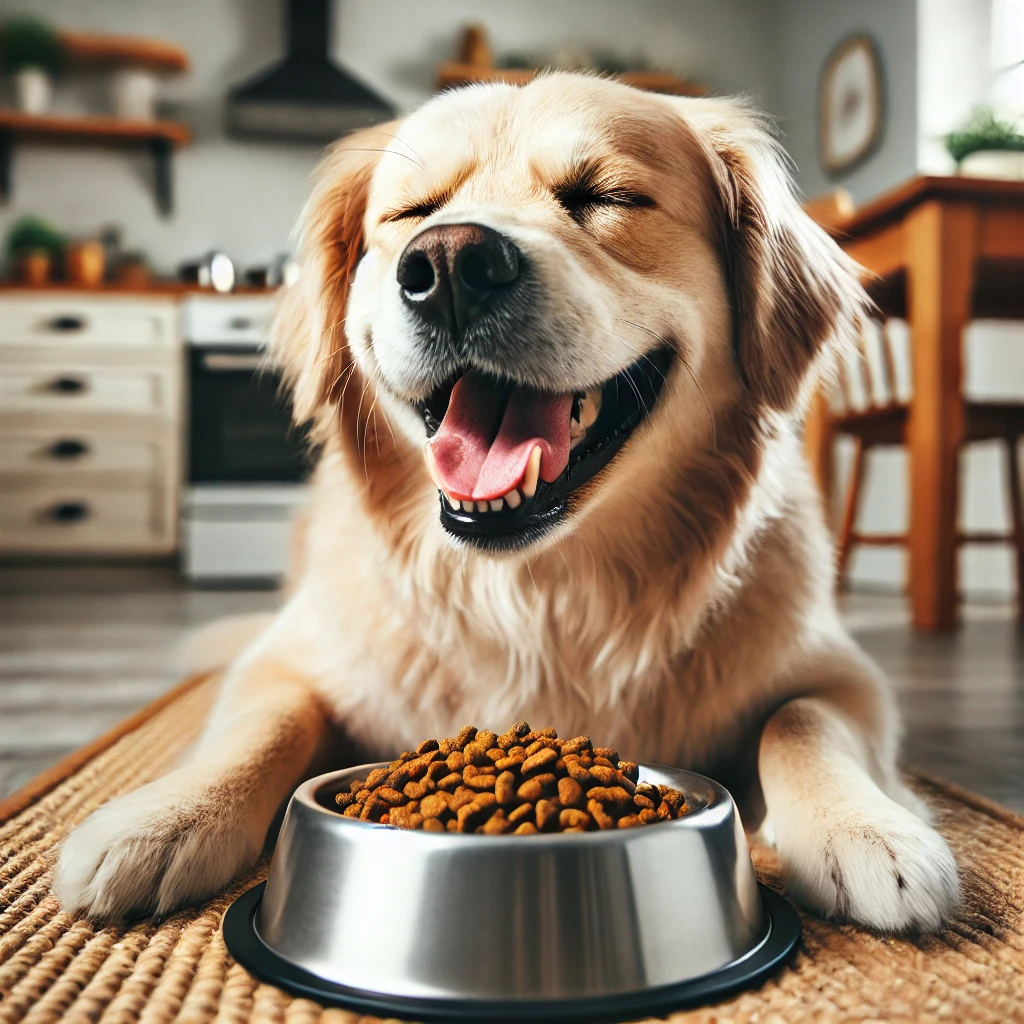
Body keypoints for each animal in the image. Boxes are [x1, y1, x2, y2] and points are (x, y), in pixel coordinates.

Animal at [56, 75, 958, 933]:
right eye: (412, 213)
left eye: (605, 196)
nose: (450, 263)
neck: (540, 595)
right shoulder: (286, 658)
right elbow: (263, 725)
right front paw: (161, 818)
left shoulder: (841, 673)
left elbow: (801, 724)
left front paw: (867, 828)